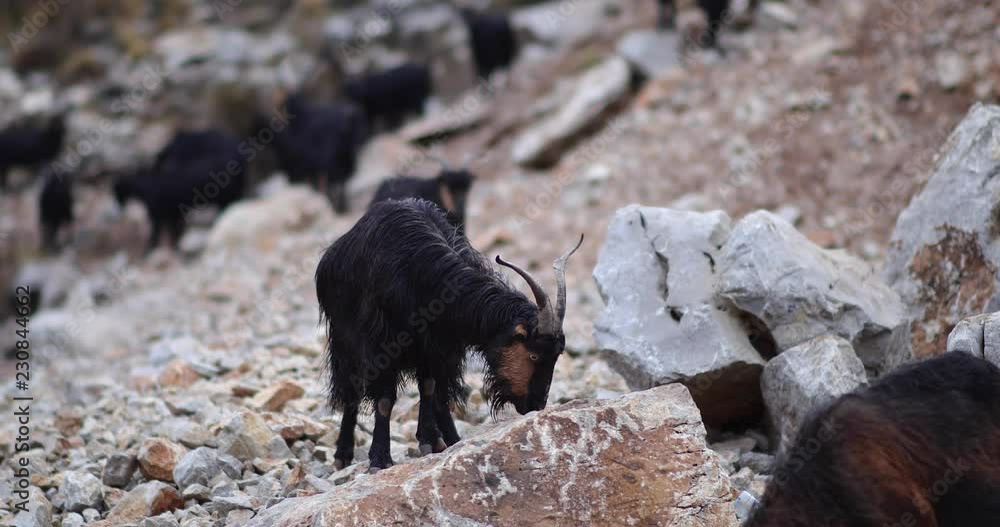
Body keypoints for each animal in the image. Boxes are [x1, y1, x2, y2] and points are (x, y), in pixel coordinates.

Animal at [112, 128, 246, 252]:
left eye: (117, 193)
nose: (118, 208)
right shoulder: (171, 214)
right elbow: (172, 231)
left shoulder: (159, 213)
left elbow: (157, 233)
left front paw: (150, 249)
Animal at [316, 200, 584, 472]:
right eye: (533, 355)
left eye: (556, 356)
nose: (536, 405)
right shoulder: (382, 345)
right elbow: (385, 399)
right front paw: (380, 459)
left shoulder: (437, 347)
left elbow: (430, 388)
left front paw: (429, 441)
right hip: (345, 341)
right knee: (351, 390)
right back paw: (343, 453)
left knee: (441, 395)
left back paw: (450, 439)